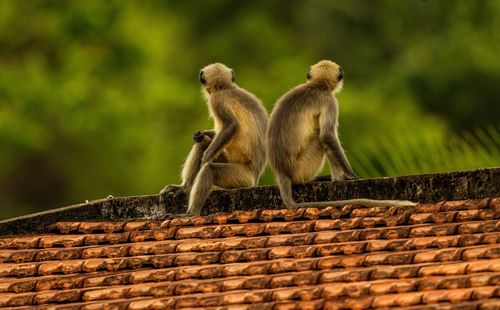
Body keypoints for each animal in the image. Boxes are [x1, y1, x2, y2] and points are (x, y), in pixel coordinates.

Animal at [160, 61, 270, 214]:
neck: (225, 87)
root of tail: (255, 178)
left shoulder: (216, 100)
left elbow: (232, 125)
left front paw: (206, 157)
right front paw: (202, 134)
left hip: (242, 177)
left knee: (209, 169)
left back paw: (191, 213)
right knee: (202, 145)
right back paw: (185, 188)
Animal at [268, 60, 416, 208]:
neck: (317, 86)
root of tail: (281, 171)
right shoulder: (330, 102)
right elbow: (327, 135)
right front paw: (351, 175)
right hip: (301, 169)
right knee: (320, 138)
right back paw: (337, 179)